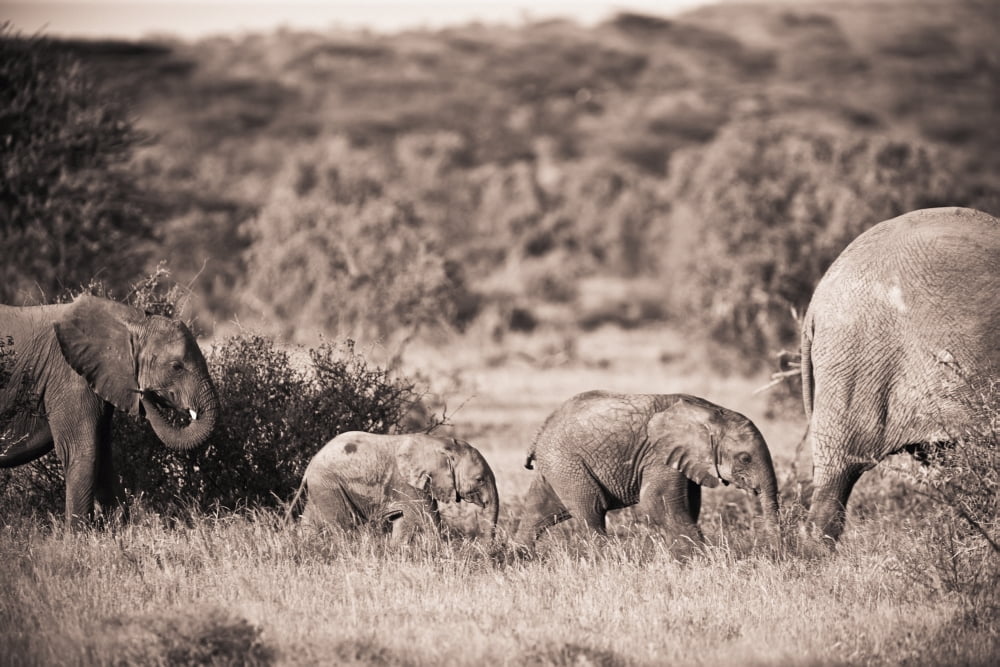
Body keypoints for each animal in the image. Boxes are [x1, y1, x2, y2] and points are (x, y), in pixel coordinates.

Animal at [0, 294, 220, 525]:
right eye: (176, 367)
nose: (144, 391)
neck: (129, 321)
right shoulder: (70, 379)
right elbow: (83, 452)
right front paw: (79, 534)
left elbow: (103, 454)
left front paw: (119, 529)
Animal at [287, 431, 499, 541]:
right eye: (480, 479)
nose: (484, 552)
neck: (440, 443)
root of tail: (308, 467)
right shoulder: (407, 483)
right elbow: (426, 520)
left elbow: (403, 521)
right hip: (329, 485)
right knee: (339, 524)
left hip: (321, 487)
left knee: (310, 521)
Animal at [514, 391, 780, 547]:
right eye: (745, 458)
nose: (772, 551)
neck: (711, 412)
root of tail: (543, 428)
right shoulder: (658, 454)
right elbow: (657, 504)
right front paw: (701, 560)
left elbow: (689, 505)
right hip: (566, 462)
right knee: (591, 511)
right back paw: (606, 560)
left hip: (557, 465)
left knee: (540, 510)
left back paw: (519, 558)